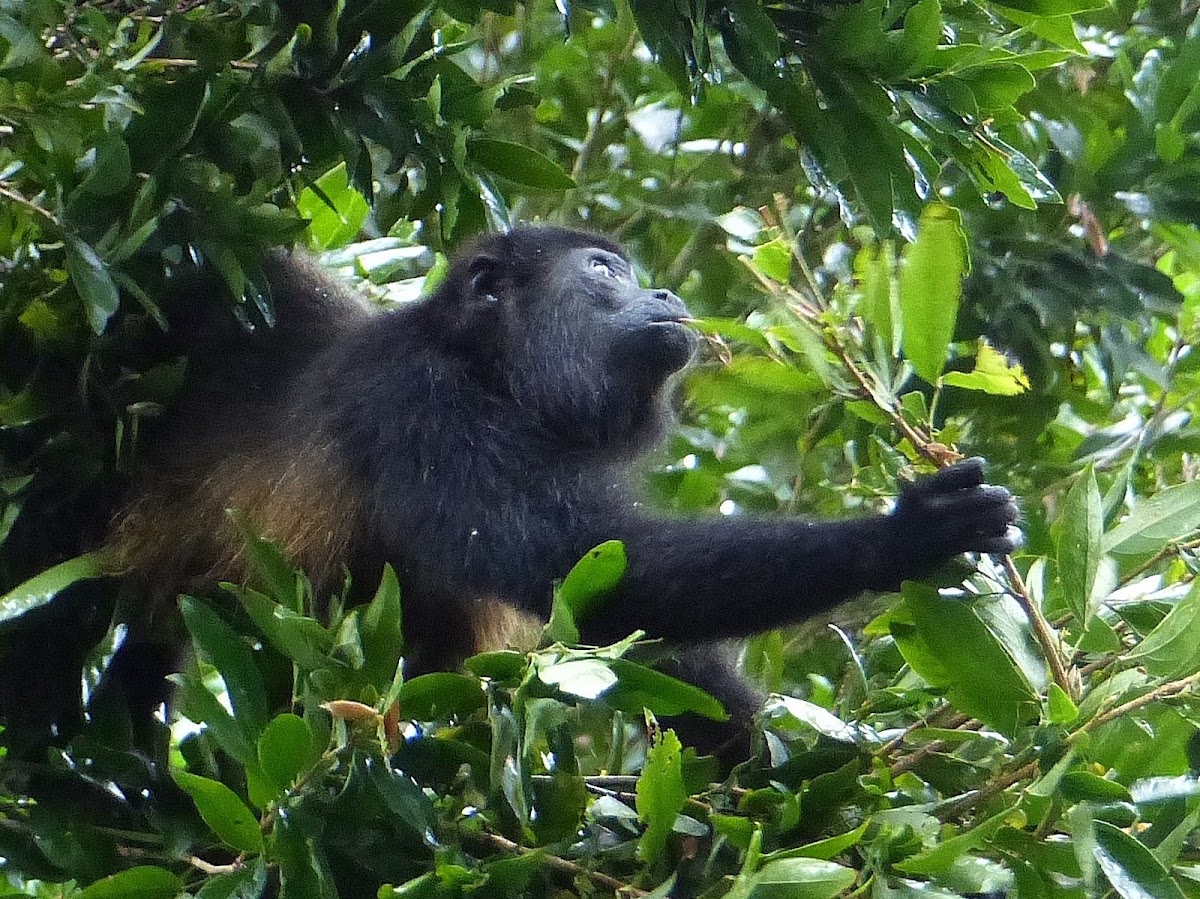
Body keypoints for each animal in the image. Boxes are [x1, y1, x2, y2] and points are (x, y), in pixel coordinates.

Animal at [112, 225, 1017, 748]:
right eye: (603, 271)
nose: (665, 292)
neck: (493, 371)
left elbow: (643, 639)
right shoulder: (414, 397)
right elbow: (567, 556)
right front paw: (903, 536)